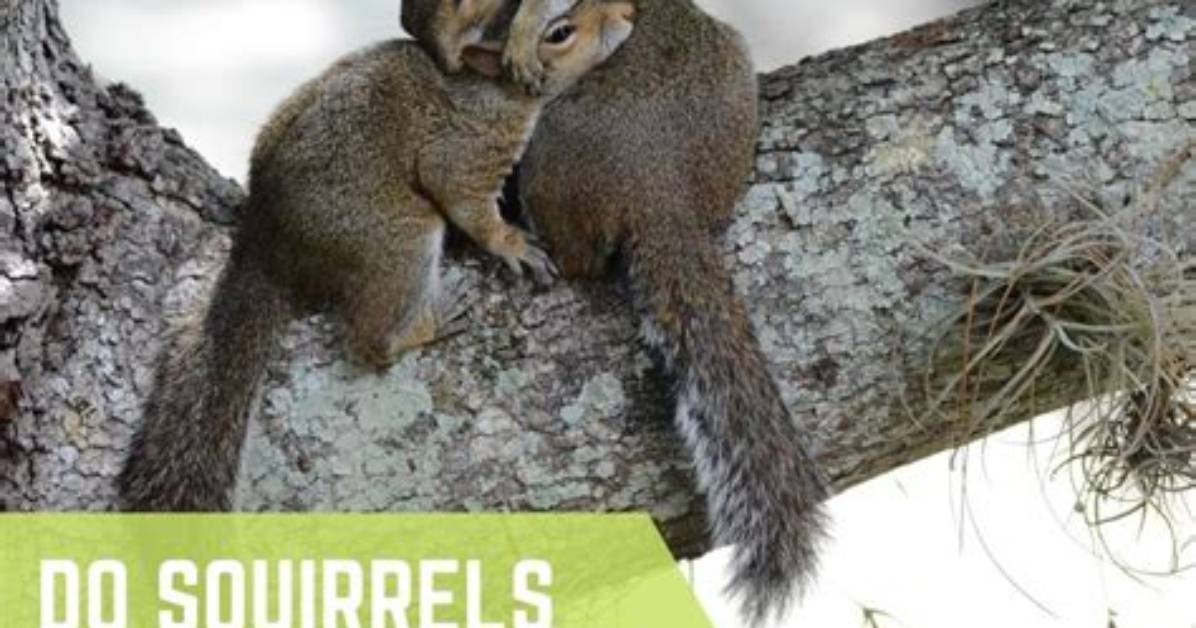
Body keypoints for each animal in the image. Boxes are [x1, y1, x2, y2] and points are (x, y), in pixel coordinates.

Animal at [118, 0, 636, 511]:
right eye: (560, 32)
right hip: (397, 241)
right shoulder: (466, 148)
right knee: (369, 341)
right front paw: (513, 244)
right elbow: (465, 201)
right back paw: (423, 327)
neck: (491, 89)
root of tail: (270, 249)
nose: (628, 14)